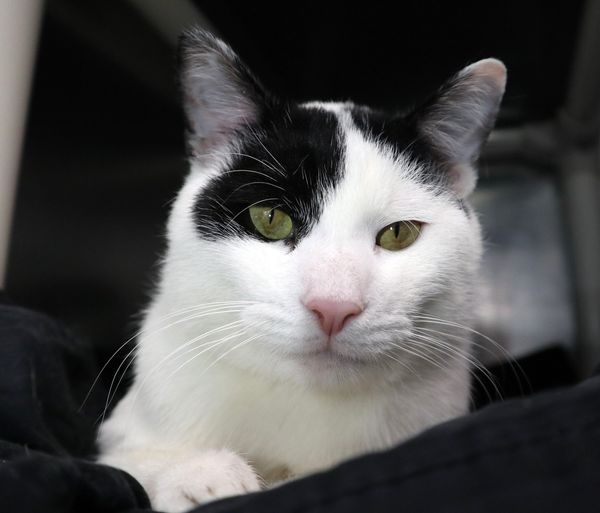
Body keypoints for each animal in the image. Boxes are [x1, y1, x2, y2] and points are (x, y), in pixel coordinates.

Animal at [97, 29, 506, 512]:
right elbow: (127, 463)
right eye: (271, 219)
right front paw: (203, 476)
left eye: (398, 233)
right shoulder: (122, 431)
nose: (333, 307)